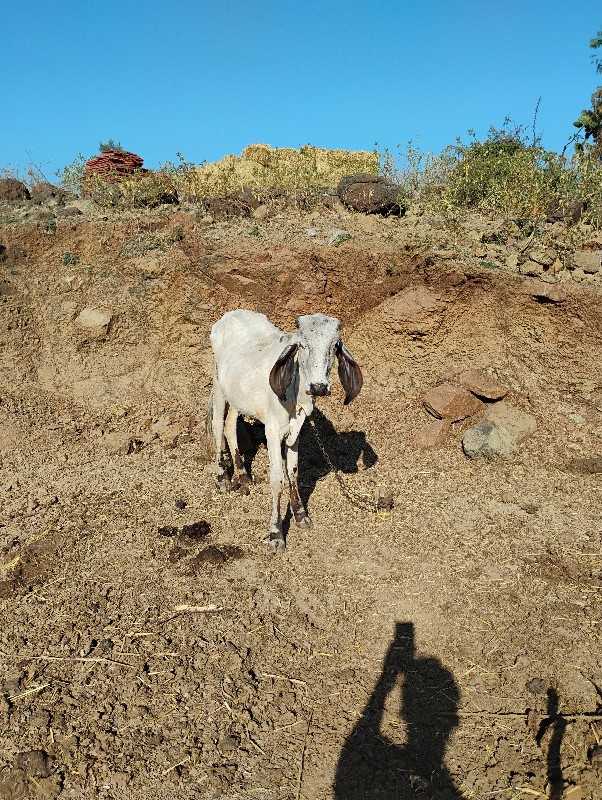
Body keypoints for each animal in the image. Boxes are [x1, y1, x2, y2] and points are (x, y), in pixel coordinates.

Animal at [207, 310, 360, 552]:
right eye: (303, 345)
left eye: (334, 345)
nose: (319, 387)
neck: (296, 394)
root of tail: (230, 314)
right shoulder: (272, 432)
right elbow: (277, 479)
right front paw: (276, 532)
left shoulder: (295, 431)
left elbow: (293, 471)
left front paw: (300, 514)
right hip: (218, 385)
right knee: (217, 425)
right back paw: (222, 477)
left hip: (238, 396)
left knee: (231, 425)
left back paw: (243, 475)